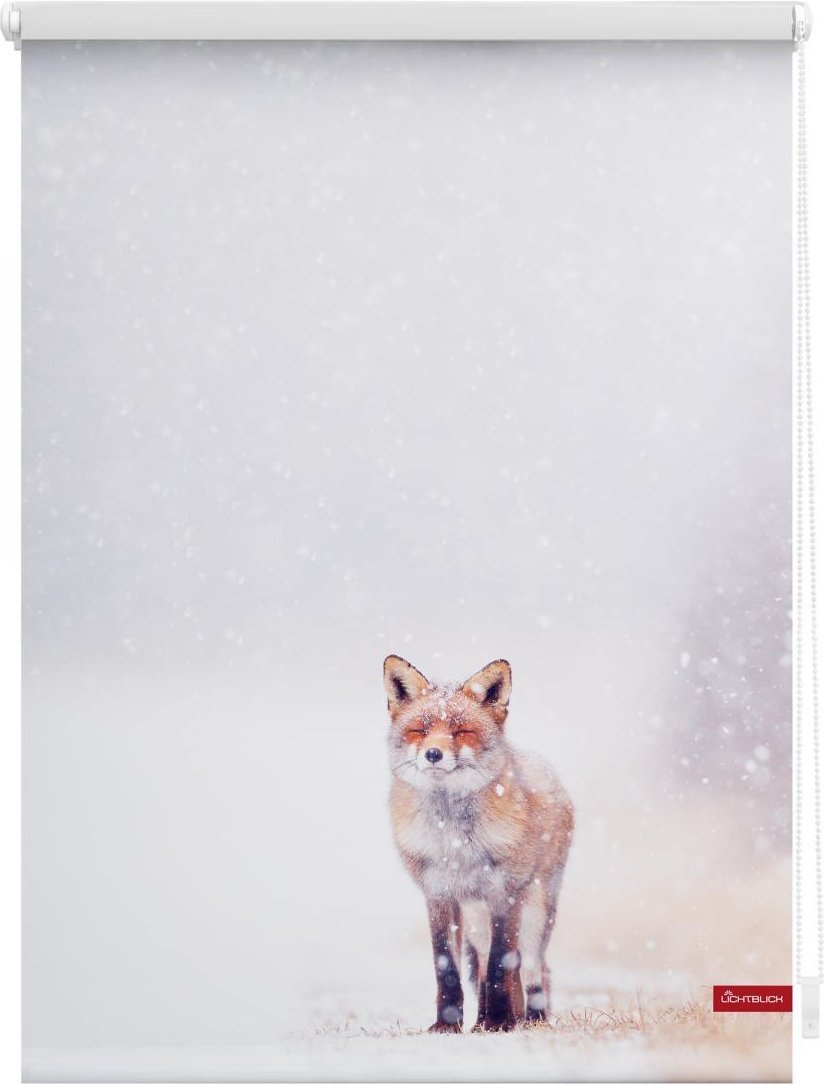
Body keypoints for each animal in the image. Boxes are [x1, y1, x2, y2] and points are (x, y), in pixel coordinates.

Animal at [384, 655, 574, 1033]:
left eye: (461, 732)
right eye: (420, 730)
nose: (433, 753)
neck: (453, 839)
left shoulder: (505, 891)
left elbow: (504, 963)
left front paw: (502, 1022)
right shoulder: (438, 893)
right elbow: (448, 966)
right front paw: (447, 1026)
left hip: (535, 908)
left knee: (533, 967)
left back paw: (529, 1019)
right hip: (474, 915)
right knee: (485, 964)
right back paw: (483, 1020)